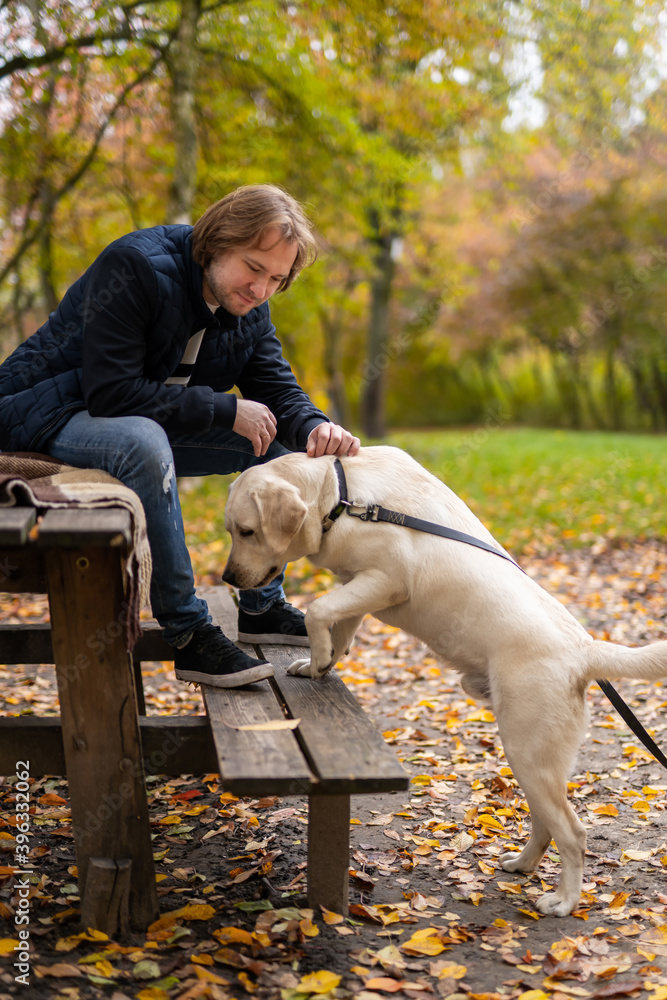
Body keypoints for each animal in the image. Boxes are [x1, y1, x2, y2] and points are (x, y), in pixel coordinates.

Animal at [223, 450, 667, 916]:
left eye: (247, 531)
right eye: (232, 531)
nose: (228, 579)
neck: (340, 497)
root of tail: (583, 650)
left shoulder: (385, 580)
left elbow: (318, 609)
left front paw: (320, 655)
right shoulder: (358, 586)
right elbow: (338, 625)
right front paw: (317, 664)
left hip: (528, 753)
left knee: (572, 834)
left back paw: (564, 901)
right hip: (534, 765)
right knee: (546, 826)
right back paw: (522, 865)